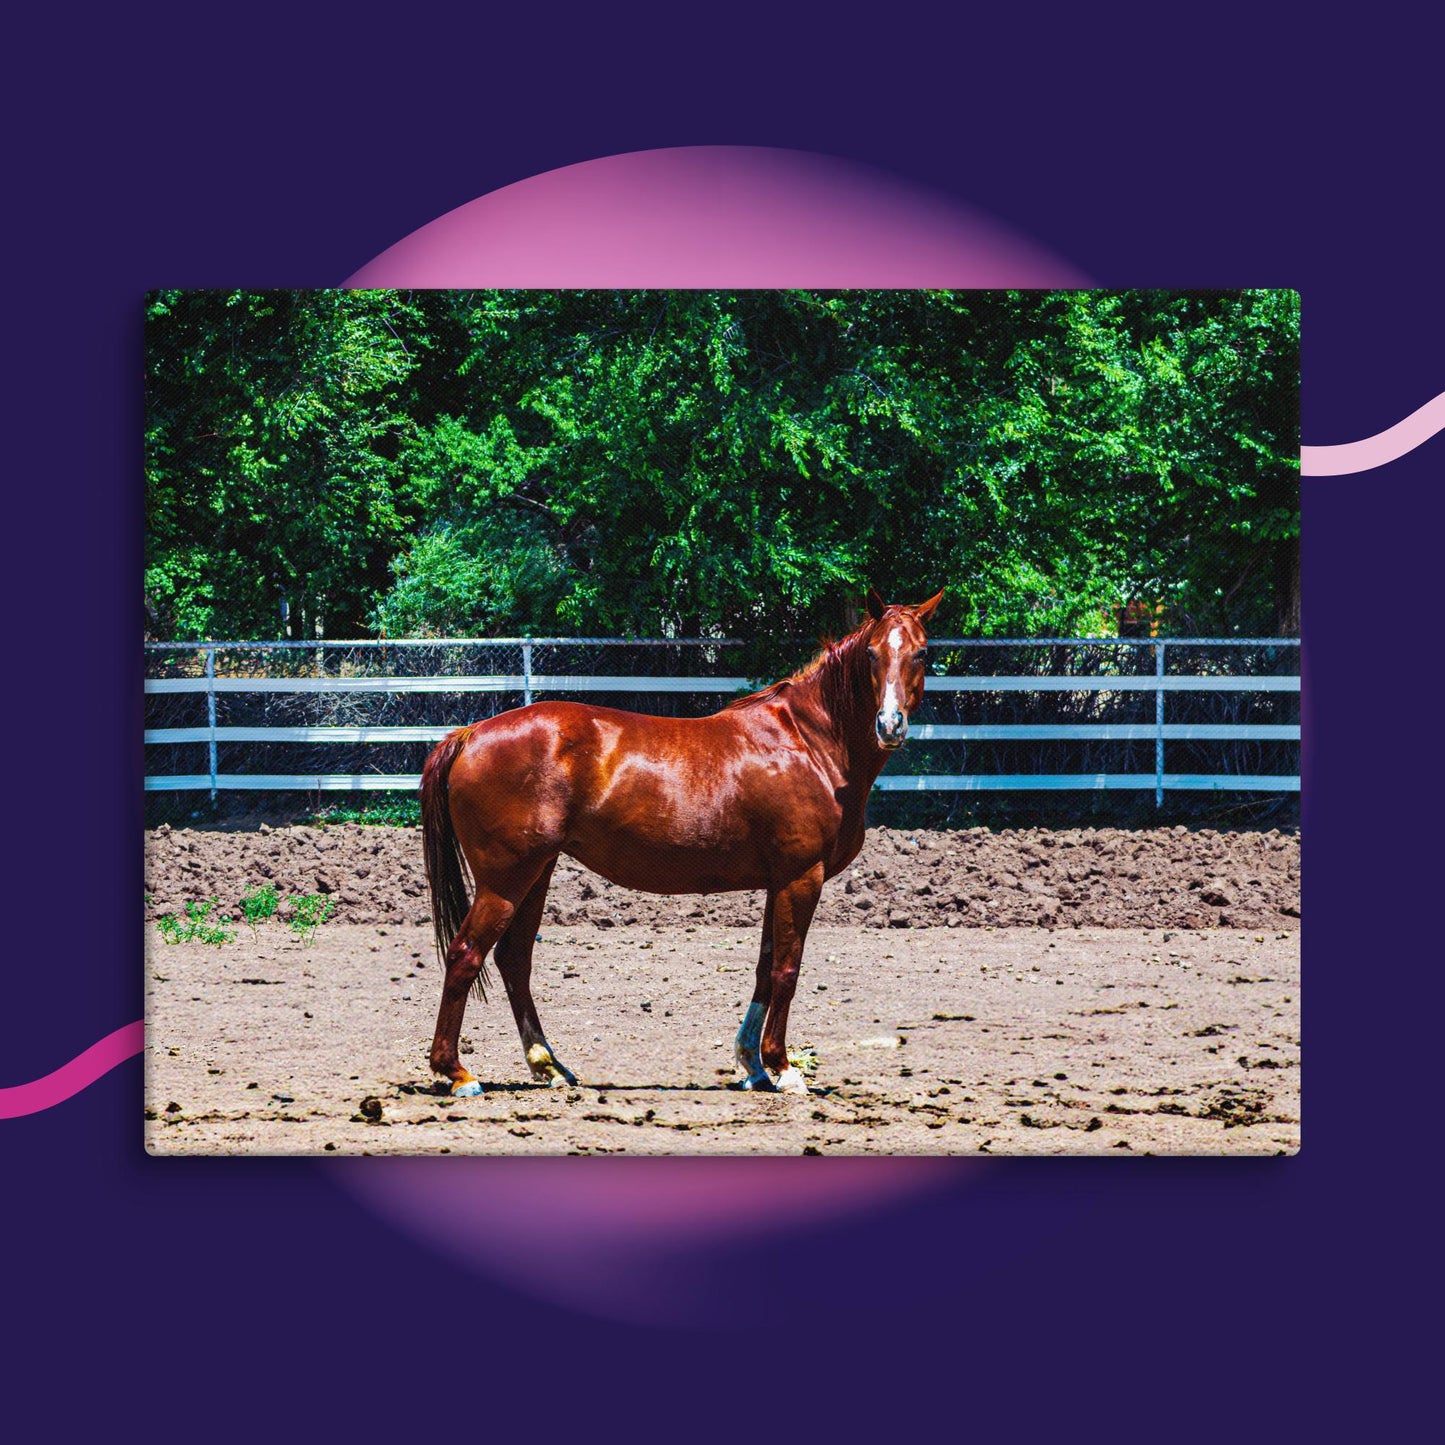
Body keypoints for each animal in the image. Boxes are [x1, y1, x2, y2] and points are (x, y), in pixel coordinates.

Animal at [421, 586, 936, 1092]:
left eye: (921, 652)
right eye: (871, 653)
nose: (890, 724)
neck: (808, 743)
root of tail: (470, 734)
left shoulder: (779, 882)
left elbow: (764, 968)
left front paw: (752, 1065)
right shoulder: (801, 878)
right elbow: (786, 970)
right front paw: (783, 1067)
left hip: (535, 874)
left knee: (514, 960)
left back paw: (549, 1065)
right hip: (505, 880)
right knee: (465, 955)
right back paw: (457, 1073)